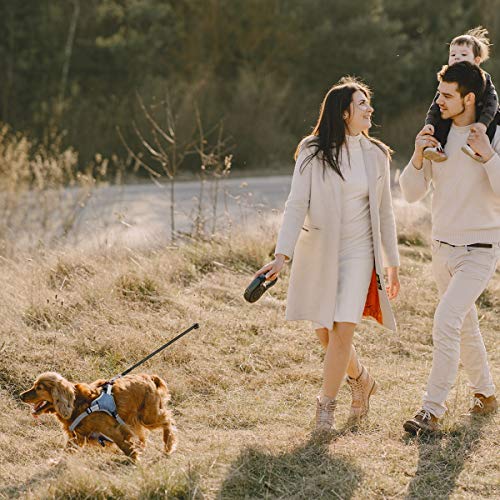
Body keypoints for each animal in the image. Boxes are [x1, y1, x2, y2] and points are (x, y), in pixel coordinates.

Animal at [21, 372, 178, 460]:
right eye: (34, 385)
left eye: (39, 388)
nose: (21, 396)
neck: (77, 403)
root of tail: (149, 377)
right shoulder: (77, 438)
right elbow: (66, 453)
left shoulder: (114, 431)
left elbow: (127, 448)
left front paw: (135, 462)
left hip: (148, 417)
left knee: (168, 420)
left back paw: (168, 444)